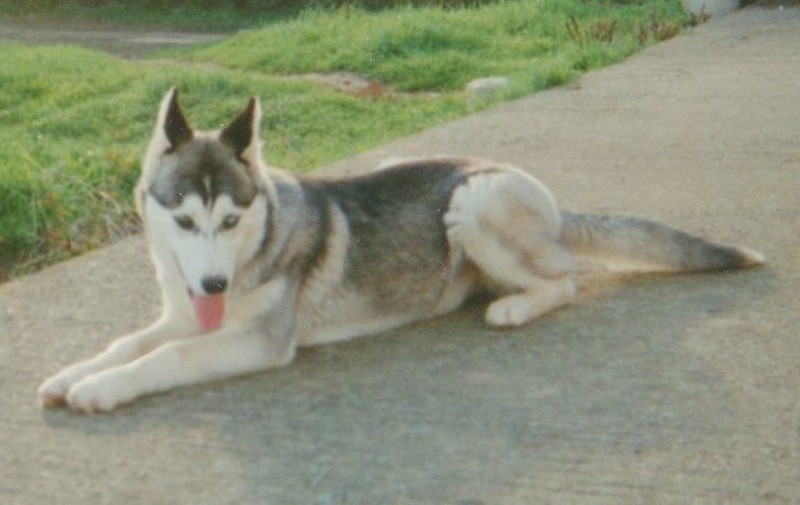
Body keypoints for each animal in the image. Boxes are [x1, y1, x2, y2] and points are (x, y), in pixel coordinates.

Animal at [38, 88, 764, 412]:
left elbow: (165, 357)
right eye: (186, 221)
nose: (214, 286)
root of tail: (556, 207)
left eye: (233, 218)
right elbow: (131, 342)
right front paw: (74, 372)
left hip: (471, 199)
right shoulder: (184, 312)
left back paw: (514, 307)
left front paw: (102, 388)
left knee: (565, 279)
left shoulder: (255, 341)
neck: (255, 246)